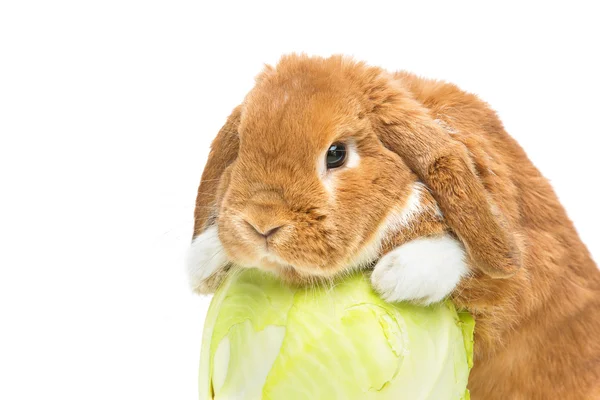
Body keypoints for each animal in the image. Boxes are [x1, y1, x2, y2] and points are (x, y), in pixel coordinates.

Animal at [186, 54, 600, 398]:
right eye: (241, 146)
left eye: (336, 154)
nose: (262, 224)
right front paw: (207, 259)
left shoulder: (520, 273)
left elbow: (475, 266)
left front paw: (396, 276)